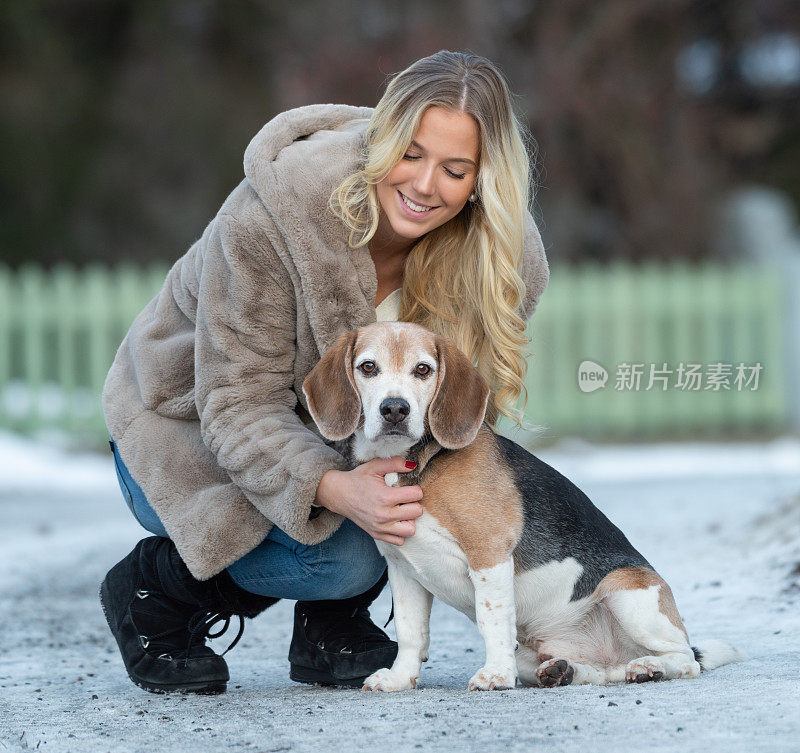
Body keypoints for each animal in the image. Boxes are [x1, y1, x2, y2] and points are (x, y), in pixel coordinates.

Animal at [304, 320, 740, 692]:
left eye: (423, 370)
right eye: (368, 367)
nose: (395, 409)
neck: (415, 462)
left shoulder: (489, 552)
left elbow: (492, 619)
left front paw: (495, 675)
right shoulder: (403, 567)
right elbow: (412, 632)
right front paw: (399, 678)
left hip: (627, 594)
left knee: (686, 660)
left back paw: (650, 667)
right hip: (543, 654)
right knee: (603, 673)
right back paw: (566, 670)